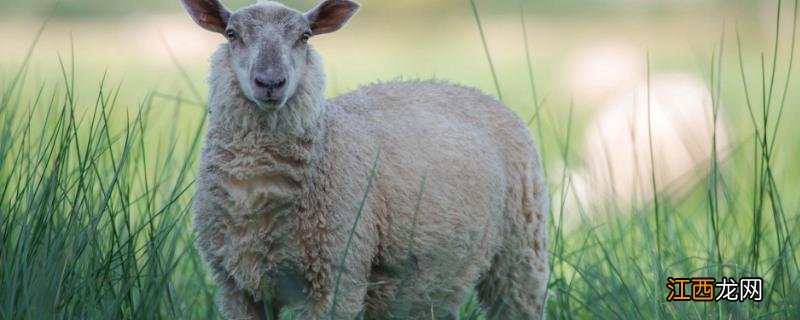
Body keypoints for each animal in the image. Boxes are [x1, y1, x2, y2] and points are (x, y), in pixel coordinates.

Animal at [181, 0, 552, 318]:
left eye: (305, 36)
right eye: (232, 34)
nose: (270, 82)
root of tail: (469, 88)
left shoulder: (336, 281)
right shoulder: (237, 289)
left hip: (521, 254)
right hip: (439, 277)